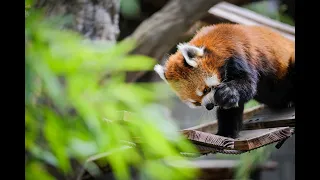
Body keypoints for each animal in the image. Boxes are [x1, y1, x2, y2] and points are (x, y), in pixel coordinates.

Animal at [154, 23, 294, 138]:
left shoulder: (240, 54)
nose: (209, 106)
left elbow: (247, 84)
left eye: (206, 89)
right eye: (196, 103)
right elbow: (230, 109)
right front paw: (226, 133)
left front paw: (227, 93)